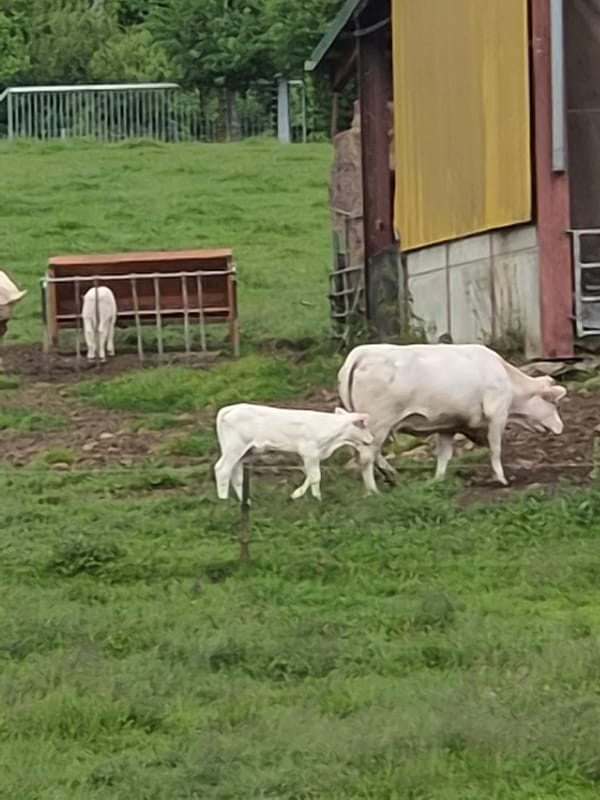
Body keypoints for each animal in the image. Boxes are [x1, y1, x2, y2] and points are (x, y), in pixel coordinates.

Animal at [214, 403, 373, 501]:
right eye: (363, 426)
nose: (371, 439)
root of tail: (231, 408)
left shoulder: (312, 455)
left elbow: (310, 475)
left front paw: (296, 494)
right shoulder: (309, 452)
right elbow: (316, 477)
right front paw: (318, 499)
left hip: (244, 452)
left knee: (236, 474)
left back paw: (245, 502)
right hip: (234, 447)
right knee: (222, 469)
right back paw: (223, 501)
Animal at [337, 343, 567, 493]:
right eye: (553, 403)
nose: (560, 427)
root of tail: (361, 353)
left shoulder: (447, 425)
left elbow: (444, 456)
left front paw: (437, 480)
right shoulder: (497, 415)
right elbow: (495, 449)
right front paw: (501, 479)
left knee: (367, 454)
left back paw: (390, 475)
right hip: (378, 424)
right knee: (366, 457)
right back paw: (373, 490)